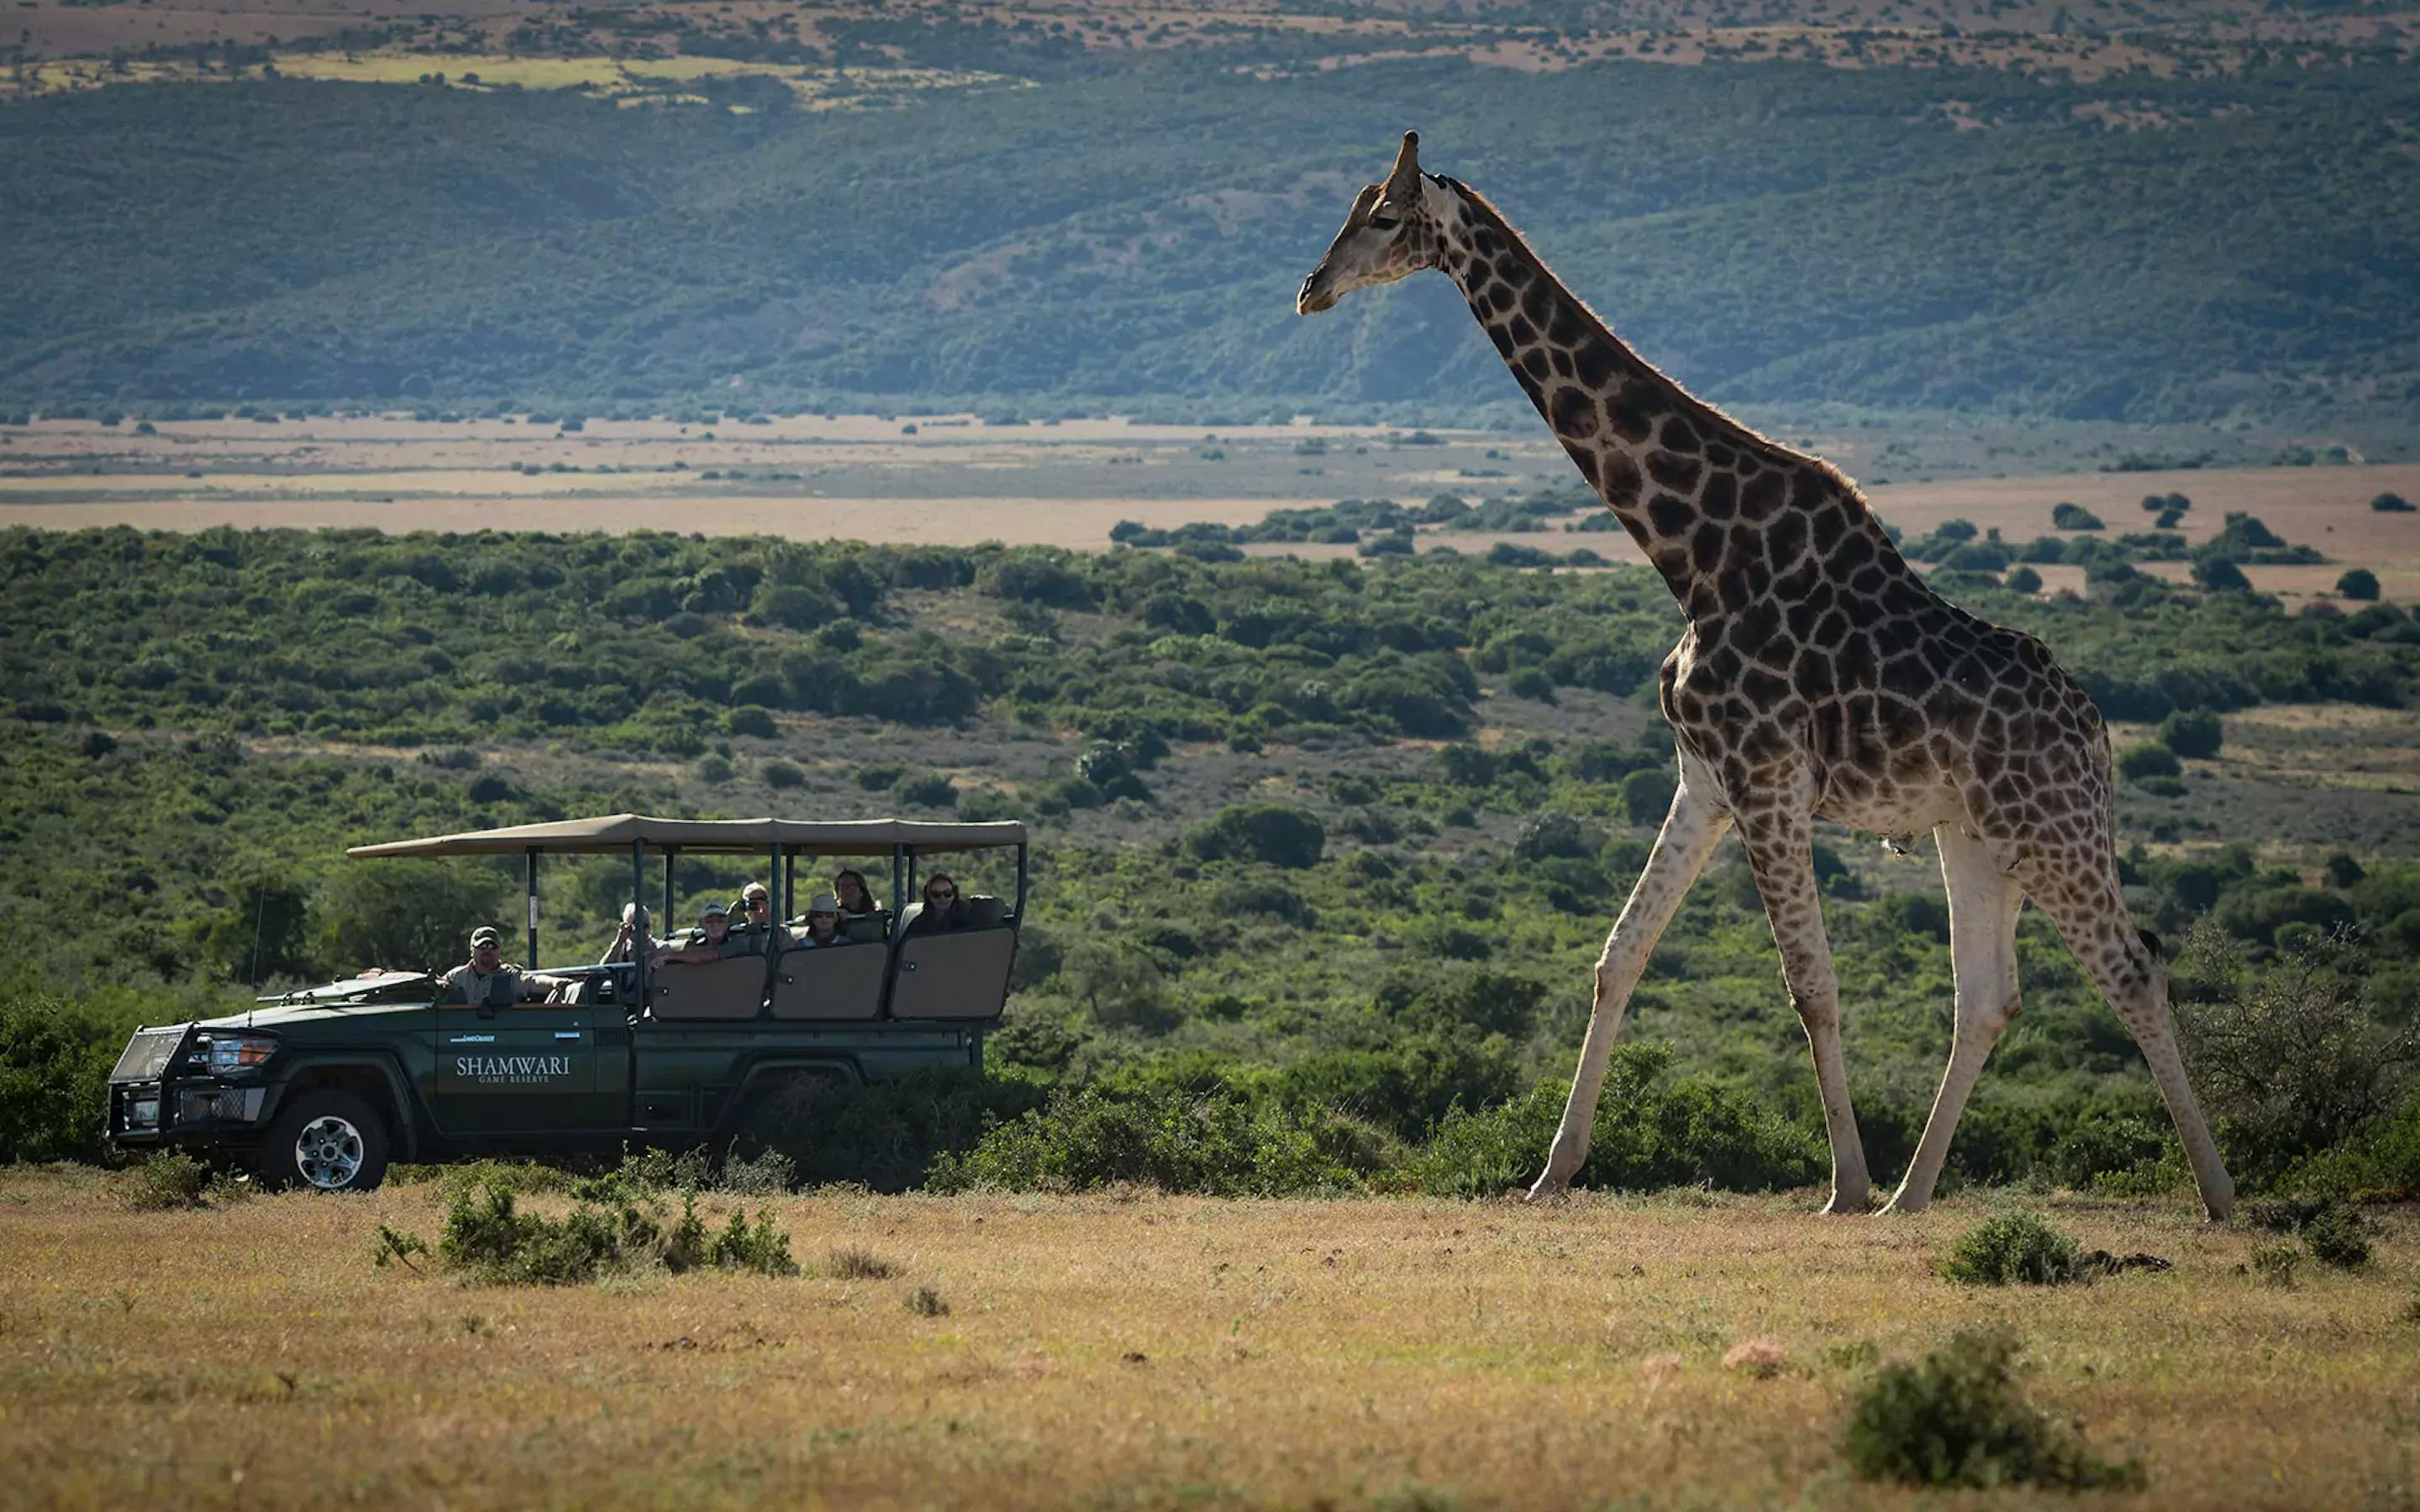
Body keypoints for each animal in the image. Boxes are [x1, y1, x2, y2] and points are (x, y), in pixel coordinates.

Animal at [1296, 133, 2235, 1220]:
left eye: (1384, 216)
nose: (1311, 289)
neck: (1698, 554)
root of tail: (2095, 730)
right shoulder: (1704, 780)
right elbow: (1619, 957)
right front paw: (1551, 1172)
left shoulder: (1766, 777)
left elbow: (1809, 983)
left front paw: (1844, 1186)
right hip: (1976, 834)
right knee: (1989, 997)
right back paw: (1915, 1197)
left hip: (2050, 823)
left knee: (2133, 969)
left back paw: (2217, 1198)